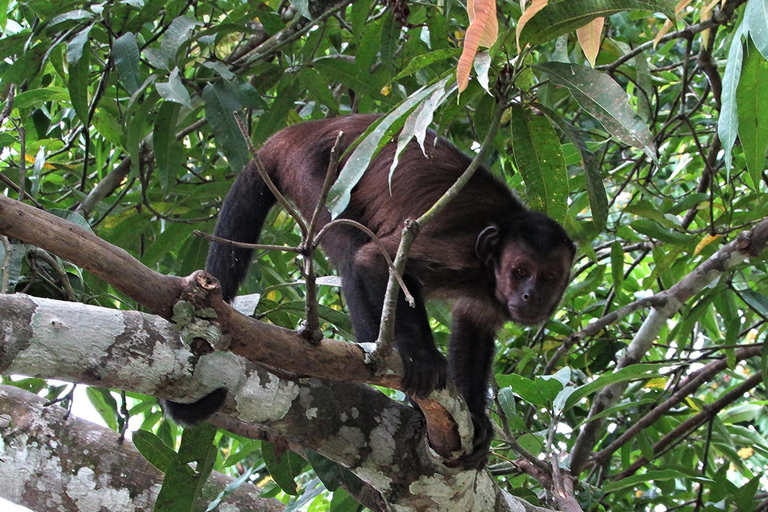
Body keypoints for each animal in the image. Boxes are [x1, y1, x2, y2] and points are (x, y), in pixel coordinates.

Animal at [168, 115, 576, 468]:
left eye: (548, 277)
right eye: (520, 271)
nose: (531, 296)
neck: (487, 269)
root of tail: (299, 131)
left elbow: (473, 327)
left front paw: (476, 418)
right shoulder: (461, 251)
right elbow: (374, 260)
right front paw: (421, 356)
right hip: (316, 169)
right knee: (352, 248)